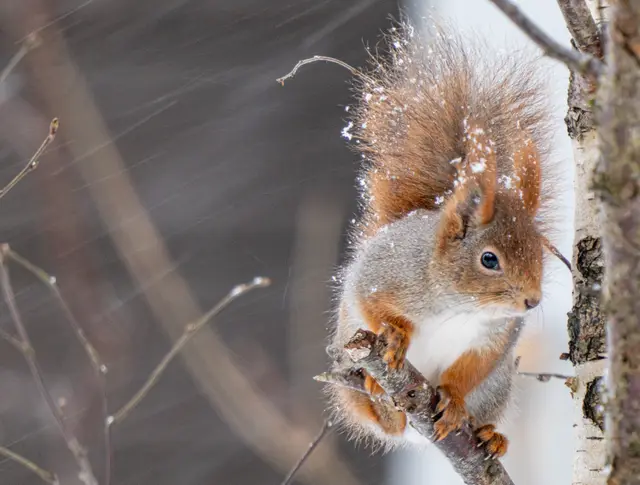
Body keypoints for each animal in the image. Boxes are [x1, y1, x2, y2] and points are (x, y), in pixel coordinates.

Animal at [326, 21, 565, 458]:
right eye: (489, 259)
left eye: (540, 252)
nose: (532, 301)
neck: (459, 303)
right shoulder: (383, 273)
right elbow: (369, 303)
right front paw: (398, 334)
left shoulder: (494, 336)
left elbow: (471, 368)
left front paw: (452, 399)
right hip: (350, 376)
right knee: (380, 418)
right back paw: (382, 402)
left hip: (496, 387)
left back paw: (490, 435)